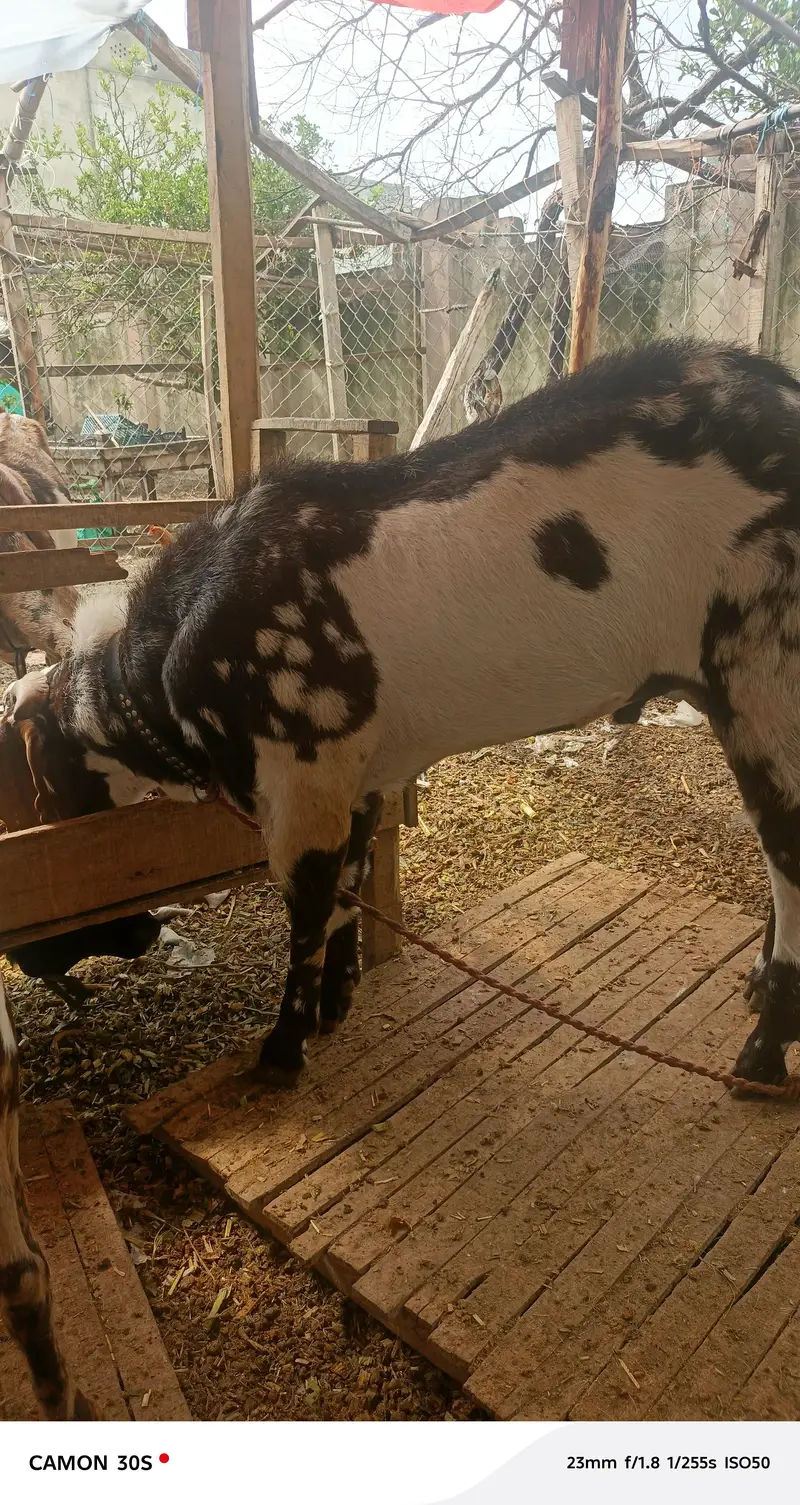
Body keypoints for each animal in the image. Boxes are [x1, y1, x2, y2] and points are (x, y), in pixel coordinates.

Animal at [4, 338, 800, 1090]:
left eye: (41, 762)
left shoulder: (301, 779)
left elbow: (308, 912)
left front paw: (283, 1051)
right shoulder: (356, 778)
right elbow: (349, 896)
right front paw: (338, 1004)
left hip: (765, 680)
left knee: (788, 854)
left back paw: (761, 1057)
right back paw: (758, 990)